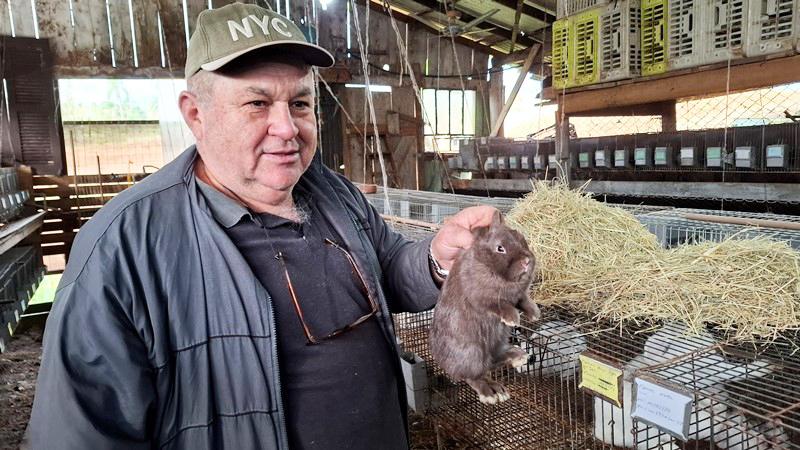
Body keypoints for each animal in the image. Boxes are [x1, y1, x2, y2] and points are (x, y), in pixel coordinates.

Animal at [432, 211, 536, 404]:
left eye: (521, 237)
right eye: (500, 248)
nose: (526, 261)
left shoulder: (519, 295)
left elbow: (523, 300)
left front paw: (534, 313)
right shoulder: (482, 297)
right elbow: (498, 304)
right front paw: (512, 318)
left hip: (498, 341)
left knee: (494, 360)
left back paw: (518, 356)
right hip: (472, 352)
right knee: (474, 376)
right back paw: (492, 392)